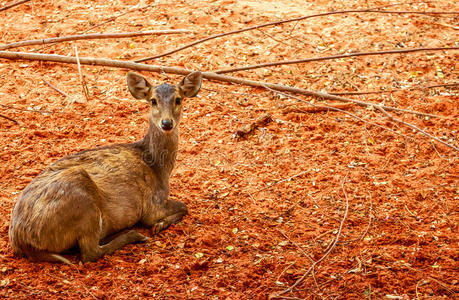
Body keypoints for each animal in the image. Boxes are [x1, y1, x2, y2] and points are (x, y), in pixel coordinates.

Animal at [8, 70, 203, 262]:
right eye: (153, 100)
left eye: (178, 99)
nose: (167, 123)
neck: (158, 168)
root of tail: (21, 241)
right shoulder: (152, 205)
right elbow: (183, 207)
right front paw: (160, 225)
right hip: (82, 200)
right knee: (90, 252)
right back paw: (134, 235)